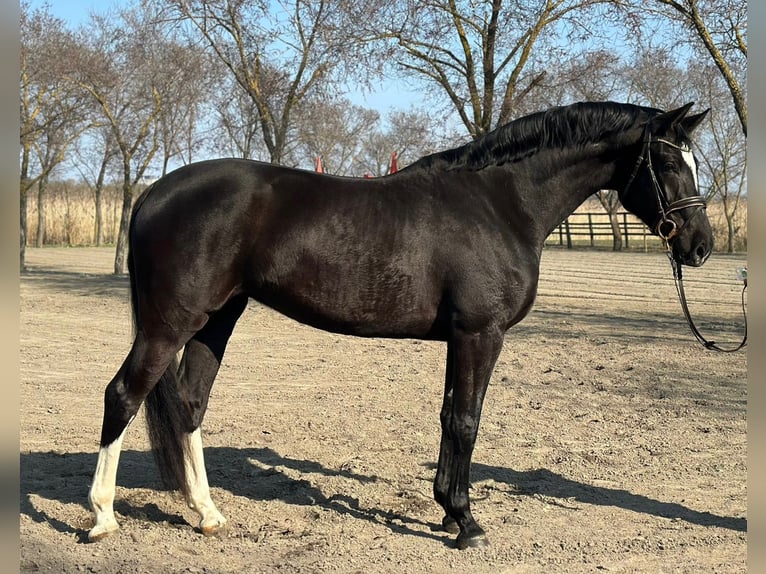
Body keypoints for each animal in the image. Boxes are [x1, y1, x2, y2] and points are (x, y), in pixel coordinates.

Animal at [87, 101, 712, 549]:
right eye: (669, 164)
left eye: (693, 163)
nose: (700, 245)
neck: (500, 202)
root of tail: (153, 193)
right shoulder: (480, 334)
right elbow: (466, 420)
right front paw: (467, 523)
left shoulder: (461, 338)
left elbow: (449, 417)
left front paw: (447, 512)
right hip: (171, 323)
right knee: (123, 394)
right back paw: (102, 517)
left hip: (216, 320)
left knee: (189, 404)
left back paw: (208, 513)